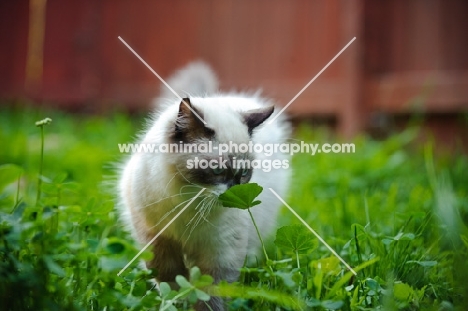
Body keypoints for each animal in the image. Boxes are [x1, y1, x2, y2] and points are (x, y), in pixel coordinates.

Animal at [119, 61, 290, 311]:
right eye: (217, 171)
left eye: (244, 173)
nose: (234, 191)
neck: (188, 202)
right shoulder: (159, 242)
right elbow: (172, 284)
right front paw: (175, 305)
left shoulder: (221, 252)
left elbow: (211, 295)